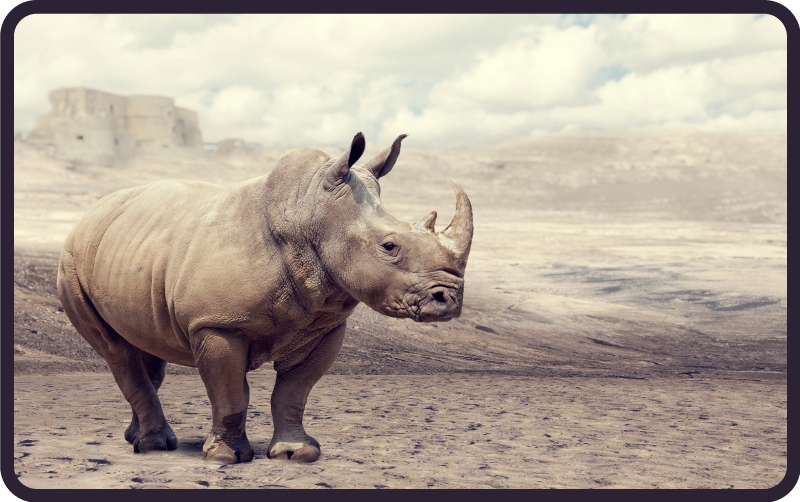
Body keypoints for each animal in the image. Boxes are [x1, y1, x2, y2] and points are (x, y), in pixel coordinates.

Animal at [56, 132, 473, 463]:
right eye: (389, 247)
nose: (448, 300)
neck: (310, 215)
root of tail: (89, 214)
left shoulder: (324, 327)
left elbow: (293, 392)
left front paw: (297, 453)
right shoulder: (217, 323)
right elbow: (230, 393)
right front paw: (226, 457)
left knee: (144, 347)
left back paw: (138, 439)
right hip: (71, 261)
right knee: (116, 351)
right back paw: (155, 446)